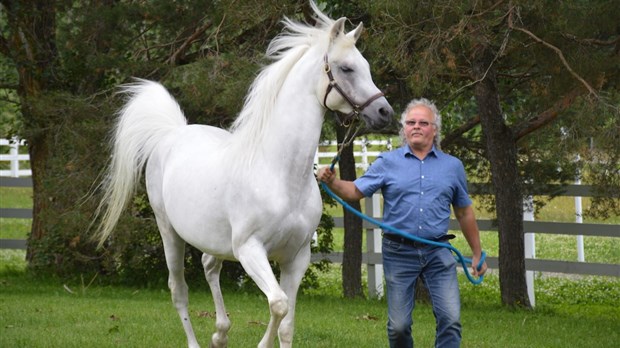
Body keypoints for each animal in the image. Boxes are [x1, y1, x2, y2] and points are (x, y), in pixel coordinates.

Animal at [93, 3, 392, 348]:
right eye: (346, 69)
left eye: (365, 66)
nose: (385, 112)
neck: (279, 174)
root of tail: (172, 133)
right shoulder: (250, 251)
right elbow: (278, 304)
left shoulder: (297, 257)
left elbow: (287, 323)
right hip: (169, 232)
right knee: (179, 291)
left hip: (214, 240)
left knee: (209, 267)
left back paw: (220, 333)